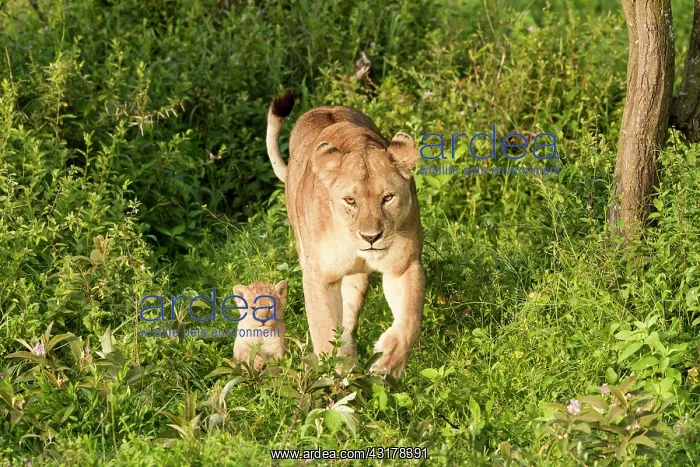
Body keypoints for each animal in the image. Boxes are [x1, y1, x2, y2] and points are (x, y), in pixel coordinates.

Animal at [265, 91, 425, 379]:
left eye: (387, 198)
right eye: (350, 200)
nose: (371, 237)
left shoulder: (403, 266)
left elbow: (410, 319)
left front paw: (387, 363)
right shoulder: (317, 277)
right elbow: (324, 330)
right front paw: (334, 377)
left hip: (357, 280)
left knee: (349, 318)